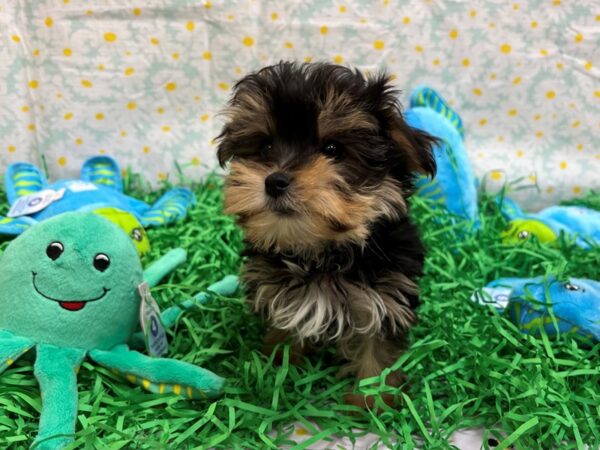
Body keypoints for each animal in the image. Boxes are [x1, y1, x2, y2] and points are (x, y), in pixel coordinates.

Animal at [216, 60, 436, 408]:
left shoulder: (385, 298)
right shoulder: (279, 292)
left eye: (333, 149)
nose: (275, 181)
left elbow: (378, 352)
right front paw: (275, 368)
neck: (321, 253)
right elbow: (284, 330)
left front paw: (371, 404)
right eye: (265, 147)